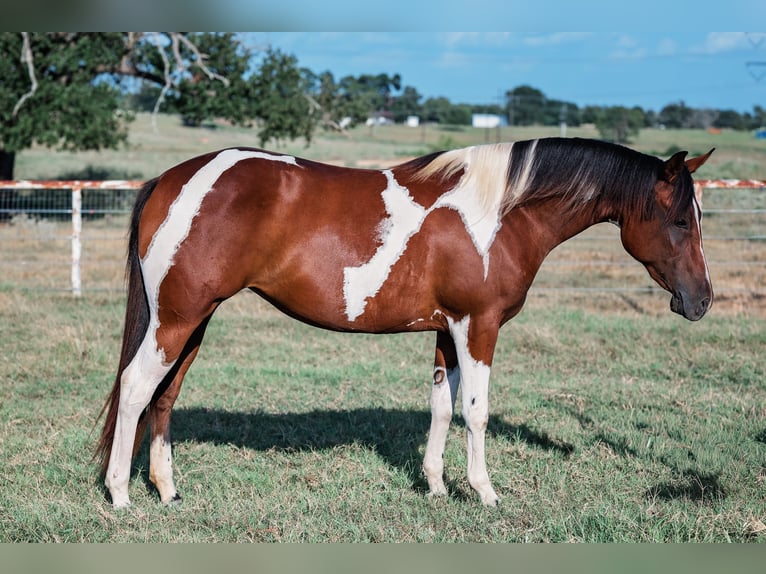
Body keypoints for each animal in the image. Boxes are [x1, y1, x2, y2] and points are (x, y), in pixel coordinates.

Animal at [96, 137, 714, 507]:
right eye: (681, 220)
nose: (702, 301)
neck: (497, 214)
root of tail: (170, 181)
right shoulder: (478, 326)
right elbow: (476, 411)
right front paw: (484, 493)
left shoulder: (446, 330)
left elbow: (442, 406)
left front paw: (437, 487)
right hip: (177, 319)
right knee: (136, 386)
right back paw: (121, 496)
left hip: (192, 322)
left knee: (165, 396)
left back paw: (167, 490)